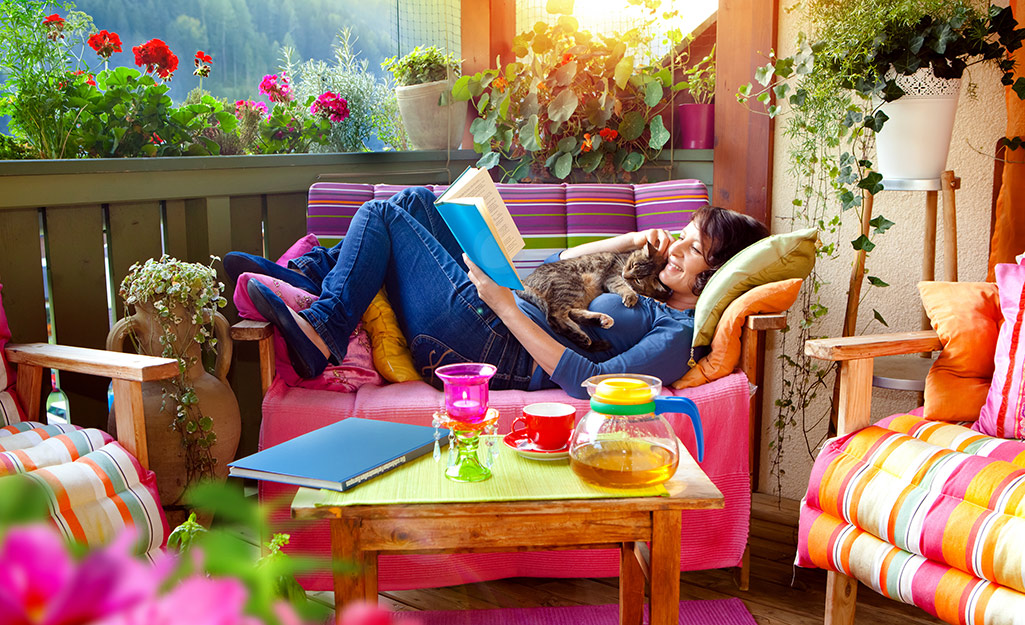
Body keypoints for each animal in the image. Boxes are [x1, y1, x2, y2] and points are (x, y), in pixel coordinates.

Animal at [516, 241, 668, 350]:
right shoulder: (611, 277)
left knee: (570, 313)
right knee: (554, 316)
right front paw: (630, 296)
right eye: (632, 265)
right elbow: (622, 286)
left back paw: (600, 320)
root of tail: (524, 282)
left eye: (638, 280)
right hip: (571, 286)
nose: (625, 275)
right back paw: (582, 336)